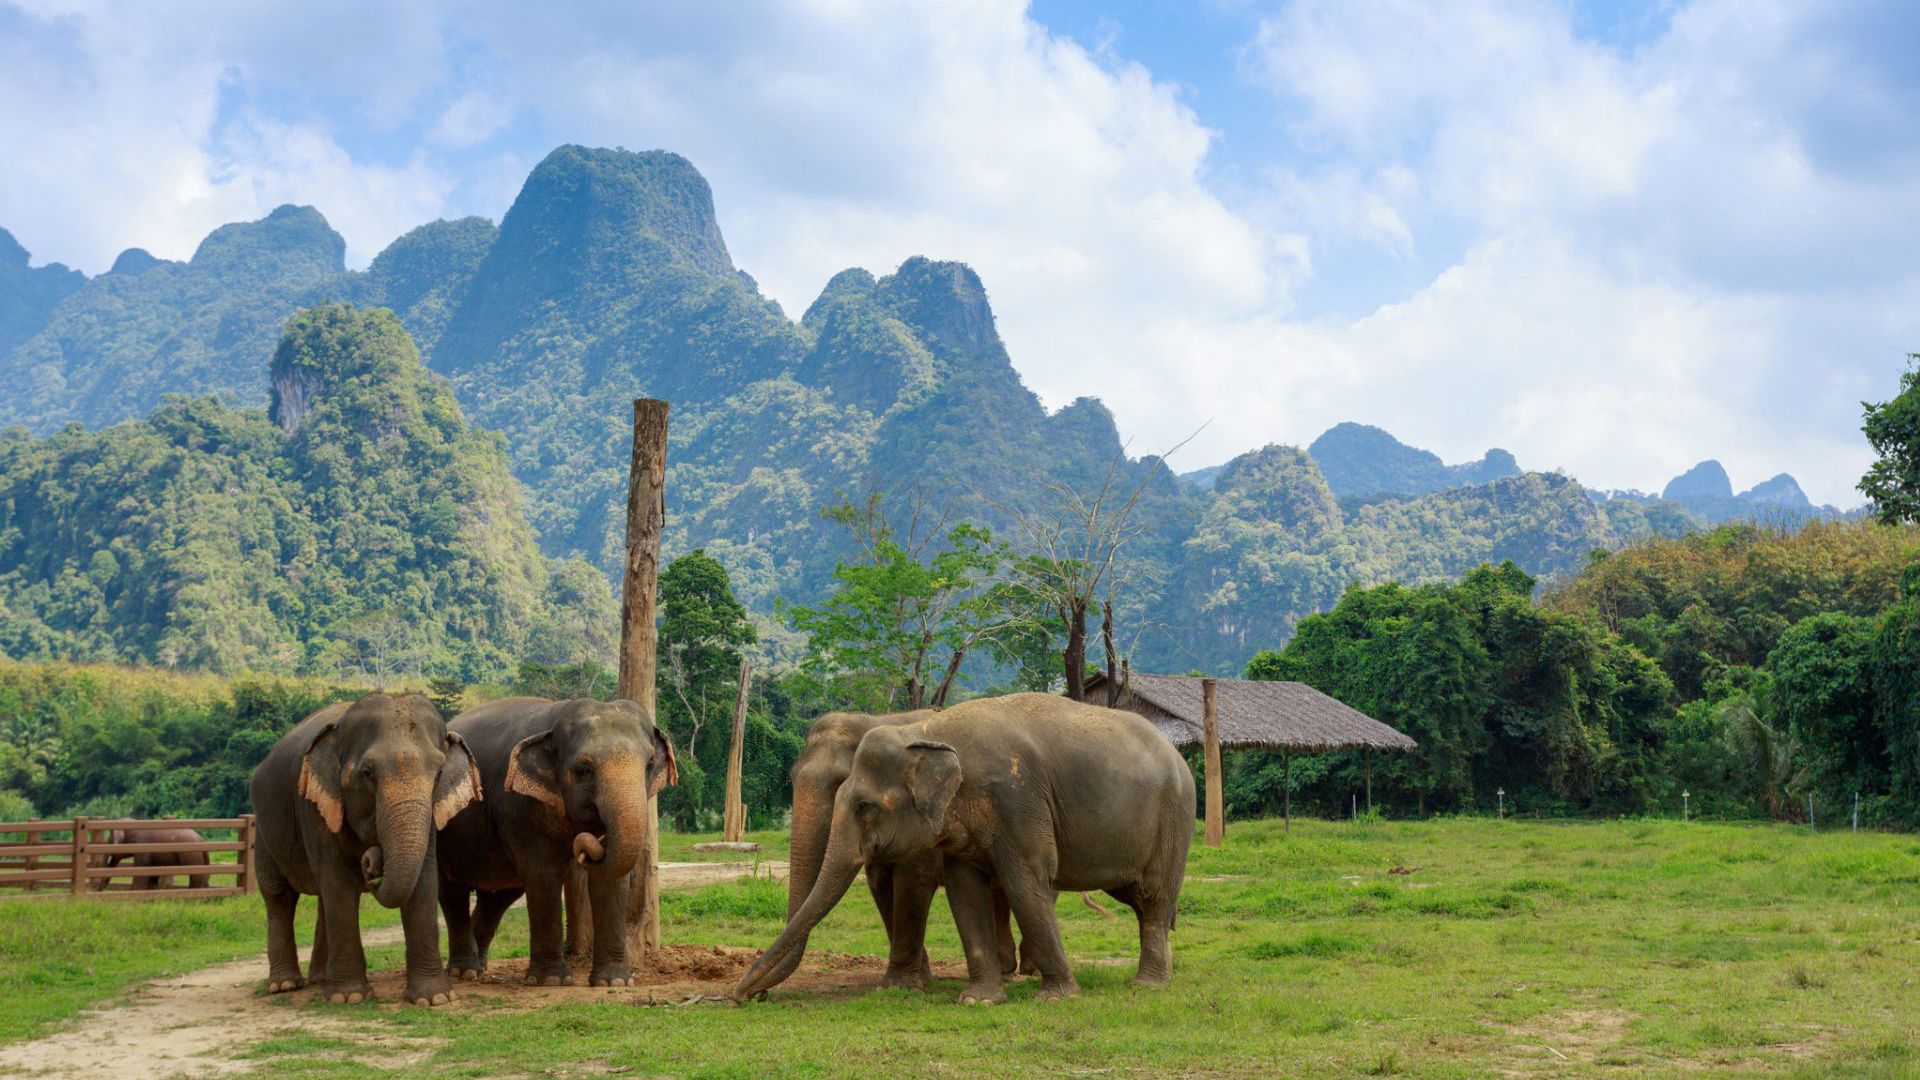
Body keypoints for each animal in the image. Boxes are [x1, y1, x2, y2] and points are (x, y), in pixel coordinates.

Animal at [249, 692, 480, 1006]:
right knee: (278, 896)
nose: (371, 861)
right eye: (367, 773)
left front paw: (435, 998)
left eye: (439, 773)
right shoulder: (315, 808)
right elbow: (337, 880)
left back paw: (319, 979)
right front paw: (349, 997)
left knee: (321, 900)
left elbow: (423, 878)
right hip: (262, 831)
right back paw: (285, 985)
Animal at [436, 696, 677, 988]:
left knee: (497, 898)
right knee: (452, 892)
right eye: (584, 769)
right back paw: (463, 972)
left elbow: (610, 880)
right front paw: (551, 979)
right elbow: (543, 874)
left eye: (650, 763)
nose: (587, 846)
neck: (556, 715)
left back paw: (479, 968)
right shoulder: (520, 804)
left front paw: (614, 982)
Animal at [734, 693, 1193, 1004]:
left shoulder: (1017, 801)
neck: (923, 733)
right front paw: (972, 997)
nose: (746, 996)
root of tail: (1176, 753)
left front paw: (1057, 997)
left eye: (862, 805)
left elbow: (1013, 877)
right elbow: (955, 889)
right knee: (1132, 897)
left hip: (1175, 819)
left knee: (1151, 897)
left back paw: (1145, 984)